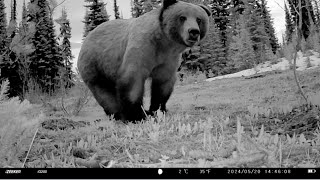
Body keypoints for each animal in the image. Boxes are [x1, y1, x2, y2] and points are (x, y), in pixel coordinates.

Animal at [77, 0, 211, 122]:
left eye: (199, 19)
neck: (164, 43)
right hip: (95, 65)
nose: (193, 32)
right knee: (104, 93)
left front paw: (157, 110)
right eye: (182, 17)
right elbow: (132, 81)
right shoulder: (142, 48)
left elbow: (163, 84)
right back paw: (117, 114)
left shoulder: (168, 59)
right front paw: (137, 115)